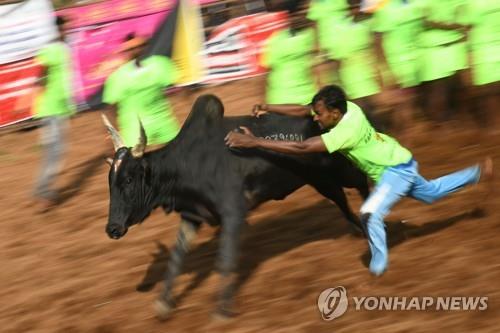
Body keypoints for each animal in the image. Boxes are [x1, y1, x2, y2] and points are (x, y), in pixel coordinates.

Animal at [102, 94, 368, 318]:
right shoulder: (192, 215)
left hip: (336, 170)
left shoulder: (233, 213)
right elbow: (177, 257)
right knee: (342, 200)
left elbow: (225, 259)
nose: (112, 229)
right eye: (110, 181)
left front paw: (222, 309)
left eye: (129, 179)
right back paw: (360, 229)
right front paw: (164, 304)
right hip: (321, 180)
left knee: (360, 181)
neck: (188, 164)